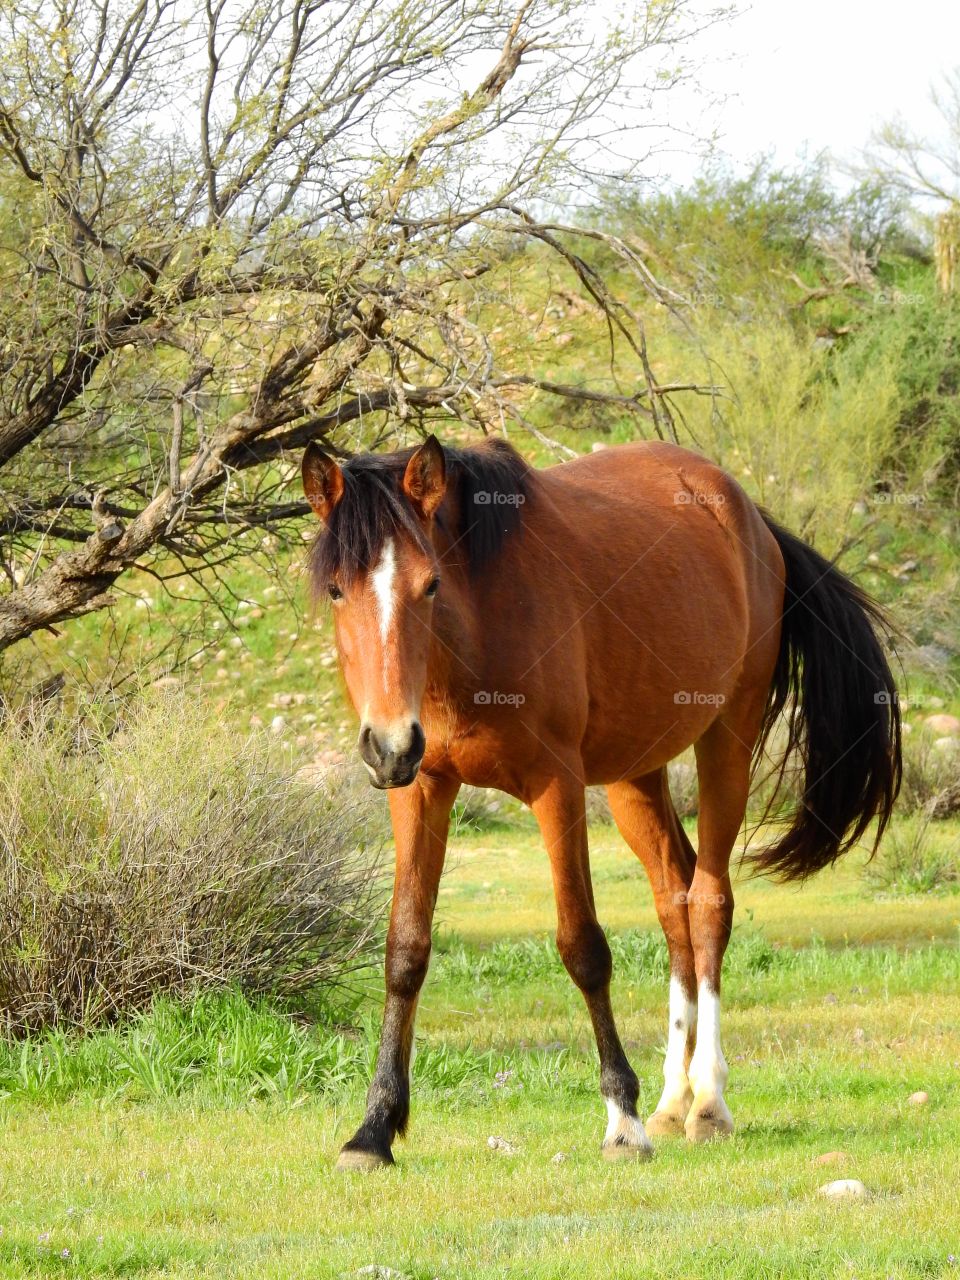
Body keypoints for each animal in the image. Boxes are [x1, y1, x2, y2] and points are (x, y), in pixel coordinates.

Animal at [304, 432, 906, 1172]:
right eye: (338, 589)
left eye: (430, 584)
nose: (388, 742)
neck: (478, 622)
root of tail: (748, 516)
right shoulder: (421, 789)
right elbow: (405, 953)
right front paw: (374, 1129)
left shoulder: (556, 785)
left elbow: (583, 947)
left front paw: (622, 1117)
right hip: (633, 776)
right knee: (675, 900)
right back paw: (673, 1099)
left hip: (725, 740)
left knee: (708, 904)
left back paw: (707, 1100)